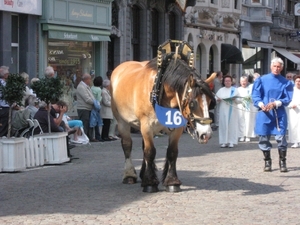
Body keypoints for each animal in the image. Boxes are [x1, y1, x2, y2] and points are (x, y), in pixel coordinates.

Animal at [110, 39, 216, 192]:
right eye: (192, 103)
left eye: (210, 101)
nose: (206, 134)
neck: (160, 88)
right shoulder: (146, 125)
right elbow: (150, 152)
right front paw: (150, 183)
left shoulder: (176, 128)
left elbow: (171, 152)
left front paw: (172, 181)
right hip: (122, 121)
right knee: (127, 145)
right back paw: (130, 175)